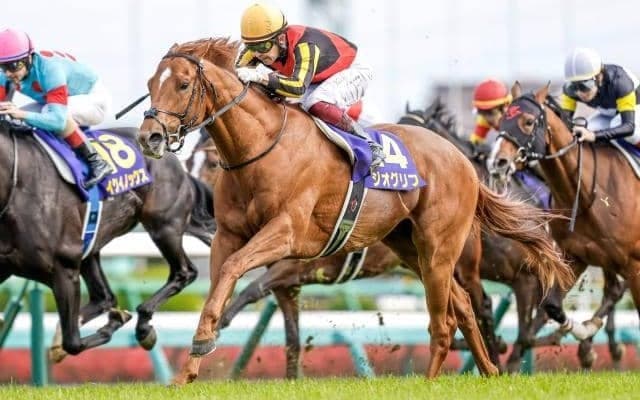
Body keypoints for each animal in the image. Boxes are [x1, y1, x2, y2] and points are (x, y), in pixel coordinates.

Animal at [0, 119, 215, 360]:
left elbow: (73, 343)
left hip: (163, 226)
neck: (16, 184)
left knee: (184, 272)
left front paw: (116, 320)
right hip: (91, 248)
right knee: (104, 297)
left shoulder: (64, 269)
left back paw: (143, 325)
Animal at [137, 38, 573, 384]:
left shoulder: (287, 239)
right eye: (150, 84)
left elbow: (234, 279)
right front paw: (189, 366)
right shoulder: (232, 240)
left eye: (183, 84)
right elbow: (223, 294)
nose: (149, 136)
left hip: (440, 249)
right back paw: (489, 370)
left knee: (447, 317)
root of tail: (464, 161)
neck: (262, 147)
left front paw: (202, 342)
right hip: (411, 249)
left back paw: (436, 379)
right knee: (462, 306)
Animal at [489, 82, 632, 368]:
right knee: (612, 290)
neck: (588, 194)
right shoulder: (574, 256)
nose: (498, 162)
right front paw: (583, 331)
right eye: (502, 120)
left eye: (528, 121)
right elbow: (552, 307)